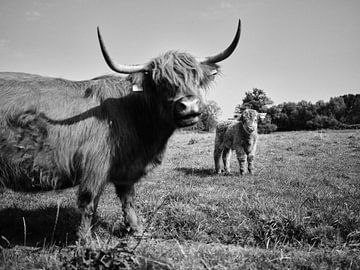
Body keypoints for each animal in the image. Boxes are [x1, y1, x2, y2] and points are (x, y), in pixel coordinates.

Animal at [0, 21, 242, 240]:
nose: (189, 106)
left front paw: (137, 230)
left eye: (196, 78)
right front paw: (85, 242)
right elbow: (89, 204)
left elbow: (128, 200)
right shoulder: (95, 167)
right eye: (161, 82)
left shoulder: (127, 169)